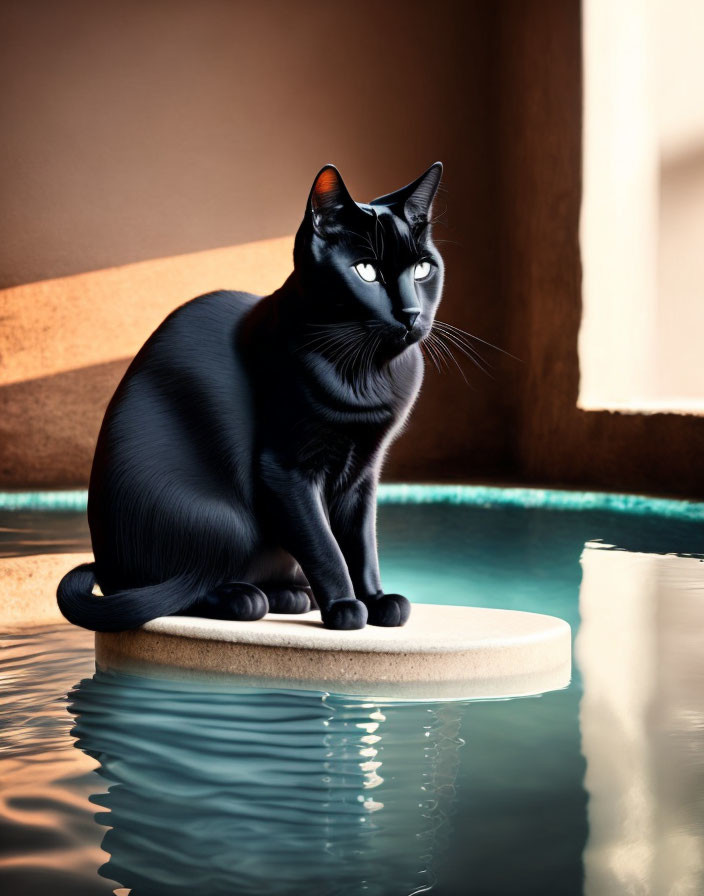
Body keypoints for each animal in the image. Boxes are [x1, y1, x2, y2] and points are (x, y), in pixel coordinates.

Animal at [59, 161, 446, 632]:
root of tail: (107, 566)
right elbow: (325, 546)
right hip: (224, 521)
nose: (410, 313)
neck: (366, 374)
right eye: (366, 271)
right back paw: (244, 599)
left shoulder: (363, 476)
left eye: (423, 270)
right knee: (172, 591)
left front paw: (375, 599)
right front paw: (345, 607)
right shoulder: (285, 470)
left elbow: (361, 544)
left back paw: (291, 596)